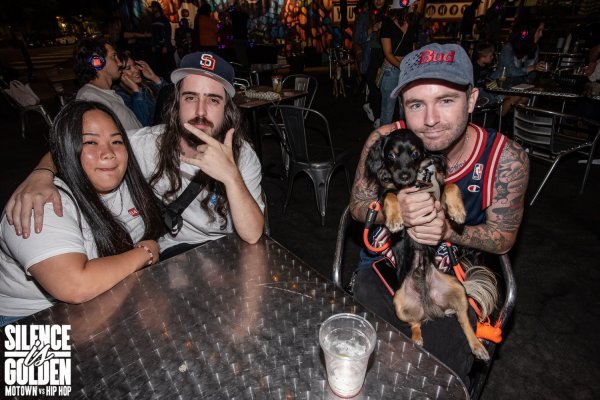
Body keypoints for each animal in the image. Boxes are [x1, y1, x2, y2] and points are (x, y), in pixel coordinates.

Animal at [365, 128, 497, 360]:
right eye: (391, 155)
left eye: (415, 154)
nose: (404, 176)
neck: (417, 182)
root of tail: (430, 306)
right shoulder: (385, 193)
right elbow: (391, 195)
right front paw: (395, 219)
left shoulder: (436, 202)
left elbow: (451, 186)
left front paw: (458, 211)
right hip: (399, 302)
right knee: (415, 322)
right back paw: (416, 338)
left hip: (458, 289)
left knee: (464, 321)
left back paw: (477, 346)